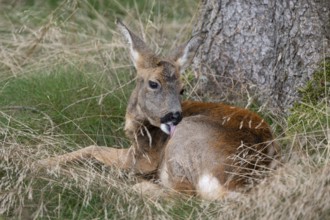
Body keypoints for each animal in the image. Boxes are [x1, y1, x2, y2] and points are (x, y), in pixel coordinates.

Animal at [40, 19, 280, 200]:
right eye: (154, 83)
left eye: (182, 89)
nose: (174, 115)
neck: (138, 128)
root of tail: (239, 183)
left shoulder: (143, 157)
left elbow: (93, 148)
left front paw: (42, 162)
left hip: (183, 142)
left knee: (183, 195)